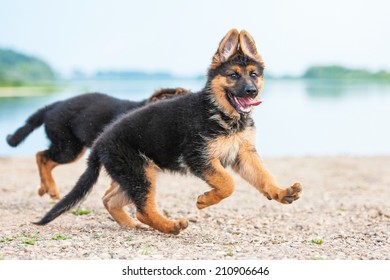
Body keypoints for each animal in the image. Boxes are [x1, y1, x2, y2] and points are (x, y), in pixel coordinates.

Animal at [6, 87, 189, 199]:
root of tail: (53, 106)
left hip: (73, 149)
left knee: (45, 159)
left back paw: (45, 188)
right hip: (68, 148)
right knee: (41, 156)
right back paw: (50, 188)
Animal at [35, 29, 302, 234]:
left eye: (254, 75)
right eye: (233, 75)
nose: (251, 92)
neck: (219, 111)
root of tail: (101, 142)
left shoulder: (243, 153)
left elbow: (263, 176)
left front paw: (280, 192)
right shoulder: (198, 157)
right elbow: (228, 183)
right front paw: (205, 200)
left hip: (137, 174)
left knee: (111, 200)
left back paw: (131, 224)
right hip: (138, 173)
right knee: (142, 209)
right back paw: (169, 226)